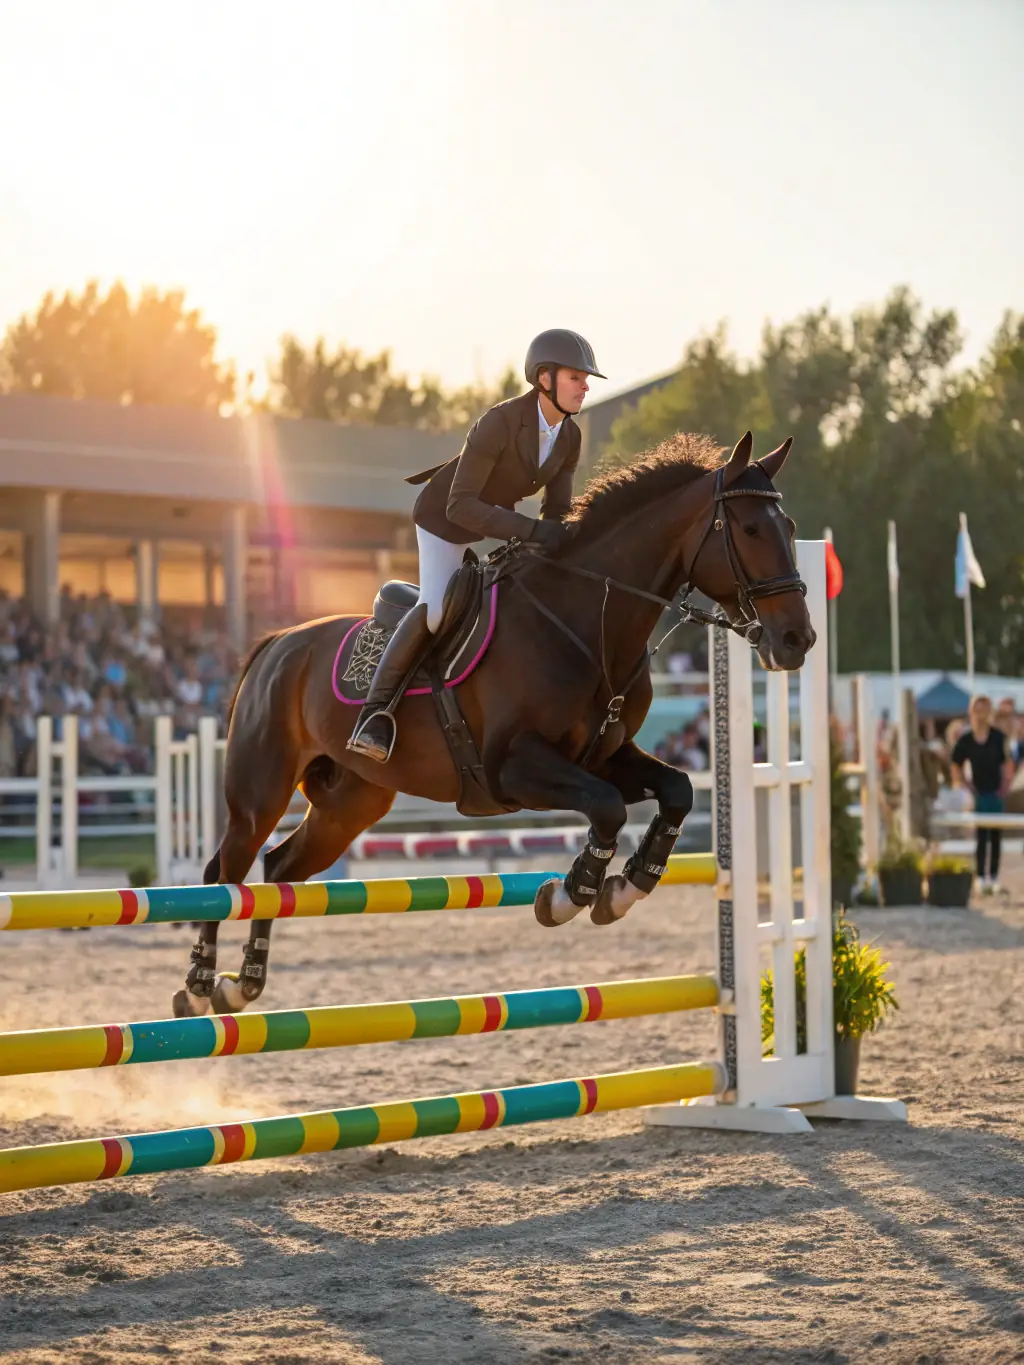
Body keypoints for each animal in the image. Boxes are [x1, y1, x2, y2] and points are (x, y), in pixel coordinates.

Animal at [172, 430, 815, 1018]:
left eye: (789, 528)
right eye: (750, 531)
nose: (796, 640)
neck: (587, 622)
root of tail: (278, 642)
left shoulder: (605, 755)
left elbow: (676, 791)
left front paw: (625, 887)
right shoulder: (516, 767)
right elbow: (607, 808)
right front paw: (570, 895)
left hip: (351, 803)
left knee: (278, 870)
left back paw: (243, 983)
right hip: (261, 791)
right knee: (224, 871)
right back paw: (199, 985)